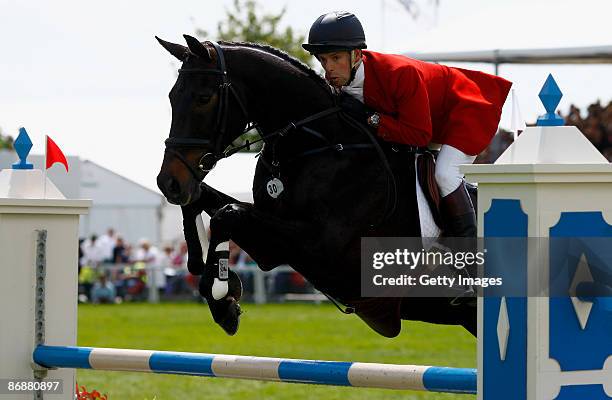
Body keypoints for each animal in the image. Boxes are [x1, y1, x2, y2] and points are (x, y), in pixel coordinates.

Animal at [155, 36, 476, 340]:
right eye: (171, 97)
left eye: (204, 98)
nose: (168, 182)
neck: (316, 146)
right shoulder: (272, 249)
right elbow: (205, 202)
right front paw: (206, 272)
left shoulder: (318, 246)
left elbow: (227, 214)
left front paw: (221, 296)